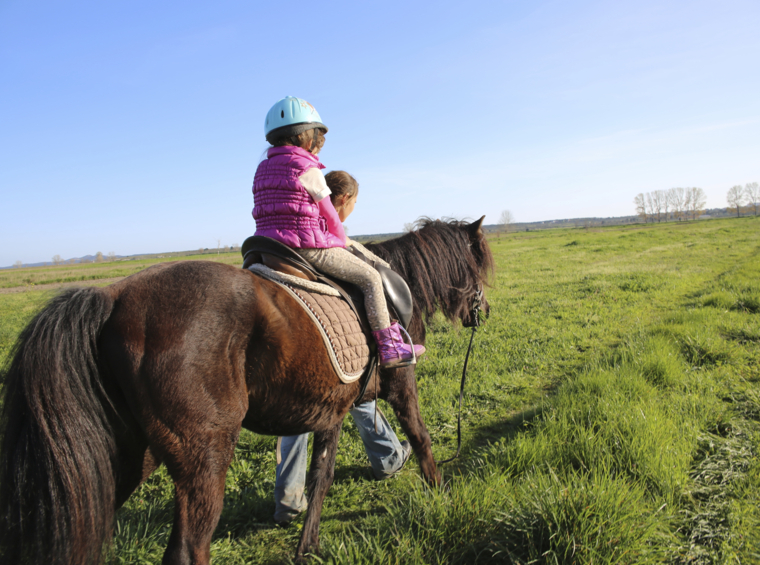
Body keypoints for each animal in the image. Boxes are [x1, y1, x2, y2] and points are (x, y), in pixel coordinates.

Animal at [0, 217, 493, 565]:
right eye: (478, 266)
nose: (482, 311)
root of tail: (113, 298)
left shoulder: (332, 409)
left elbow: (321, 475)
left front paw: (308, 545)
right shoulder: (400, 383)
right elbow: (420, 435)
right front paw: (440, 490)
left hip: (127, 455)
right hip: (204, 456)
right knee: (188, 549)